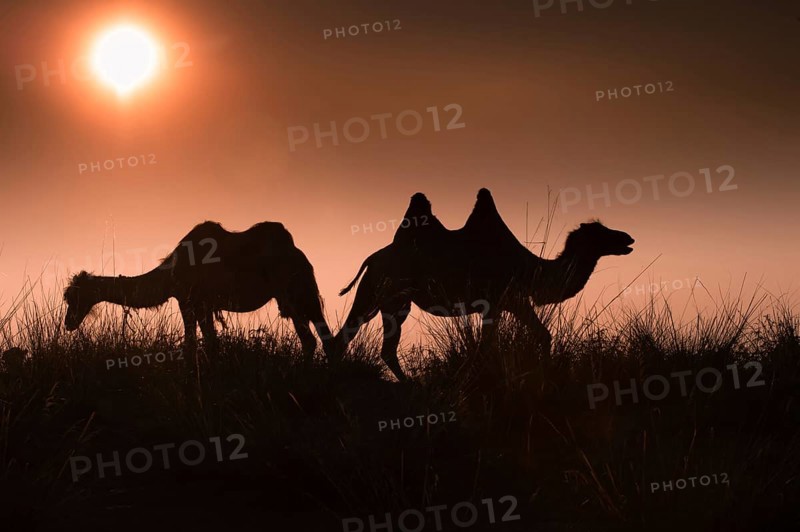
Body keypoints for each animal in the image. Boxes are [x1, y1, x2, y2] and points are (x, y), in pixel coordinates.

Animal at [64, 221, 335, 364]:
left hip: (296, 291)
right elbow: (208, 341)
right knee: (314, 338)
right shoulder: (199, 304)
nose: (68, 322)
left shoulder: (191, 301)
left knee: (317, 336)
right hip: (292, 296)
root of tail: (300, 256)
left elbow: (194, 343)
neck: (170, 275)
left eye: (72, 298)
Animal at [333, 188, 634, 381]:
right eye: (600, 232)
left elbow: (529, 337)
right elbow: (509, 341)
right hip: (382, 293)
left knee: (369, 342)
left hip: (389, 299)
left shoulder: (506, 303)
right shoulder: (503, 299)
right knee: (354, 337)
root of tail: (371, 258)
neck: (532, 270)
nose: (628, 237)